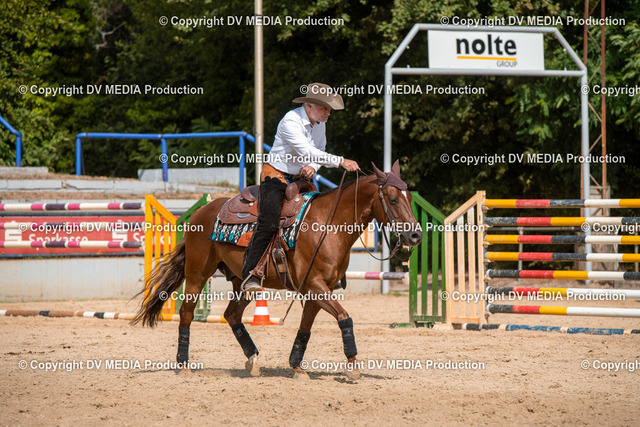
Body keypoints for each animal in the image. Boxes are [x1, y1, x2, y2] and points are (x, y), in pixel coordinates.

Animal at [132, 160, 423, 380]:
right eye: (393, 199)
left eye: (409, 196)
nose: (416, 235)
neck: (327, 226)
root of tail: (200, 211)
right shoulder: (315, 286)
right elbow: (344, 317)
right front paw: (352, 365)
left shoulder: (317, 290)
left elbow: (305, 328)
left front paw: (297, 367)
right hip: (197, 274)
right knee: (186, 313)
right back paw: (183, 365)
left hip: (243, 283)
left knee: (232, 314)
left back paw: (253, 360)